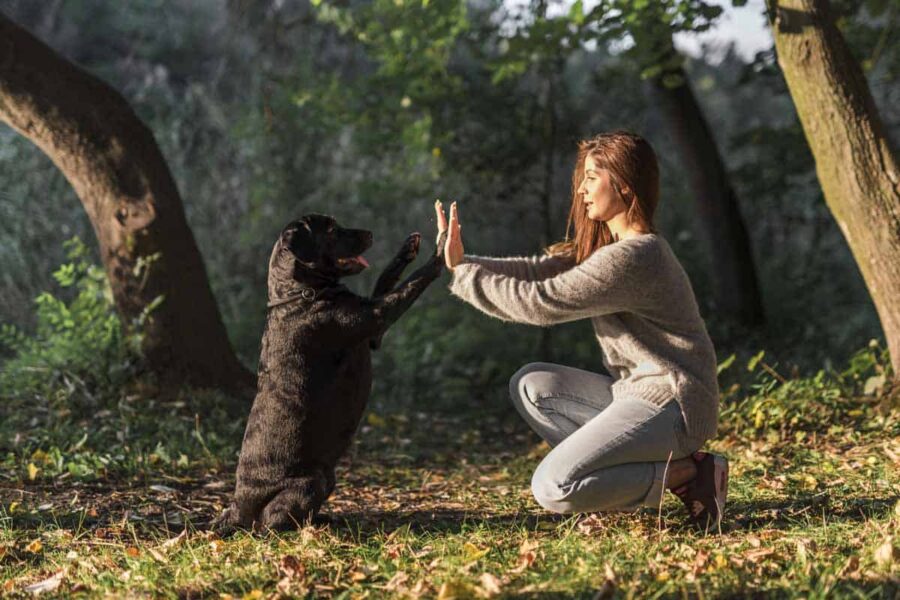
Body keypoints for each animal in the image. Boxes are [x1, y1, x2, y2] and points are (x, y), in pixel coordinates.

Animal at [215, 213, 446, 532]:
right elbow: (410, 285)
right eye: (333, 230)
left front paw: (407, 248)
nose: (370, 233)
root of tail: (237, 507)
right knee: (270, 522)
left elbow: (386, 278)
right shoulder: (377, 317)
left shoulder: (374, 334)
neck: (301, 293)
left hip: (329, 477)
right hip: (311, 481)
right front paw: (440, 253)